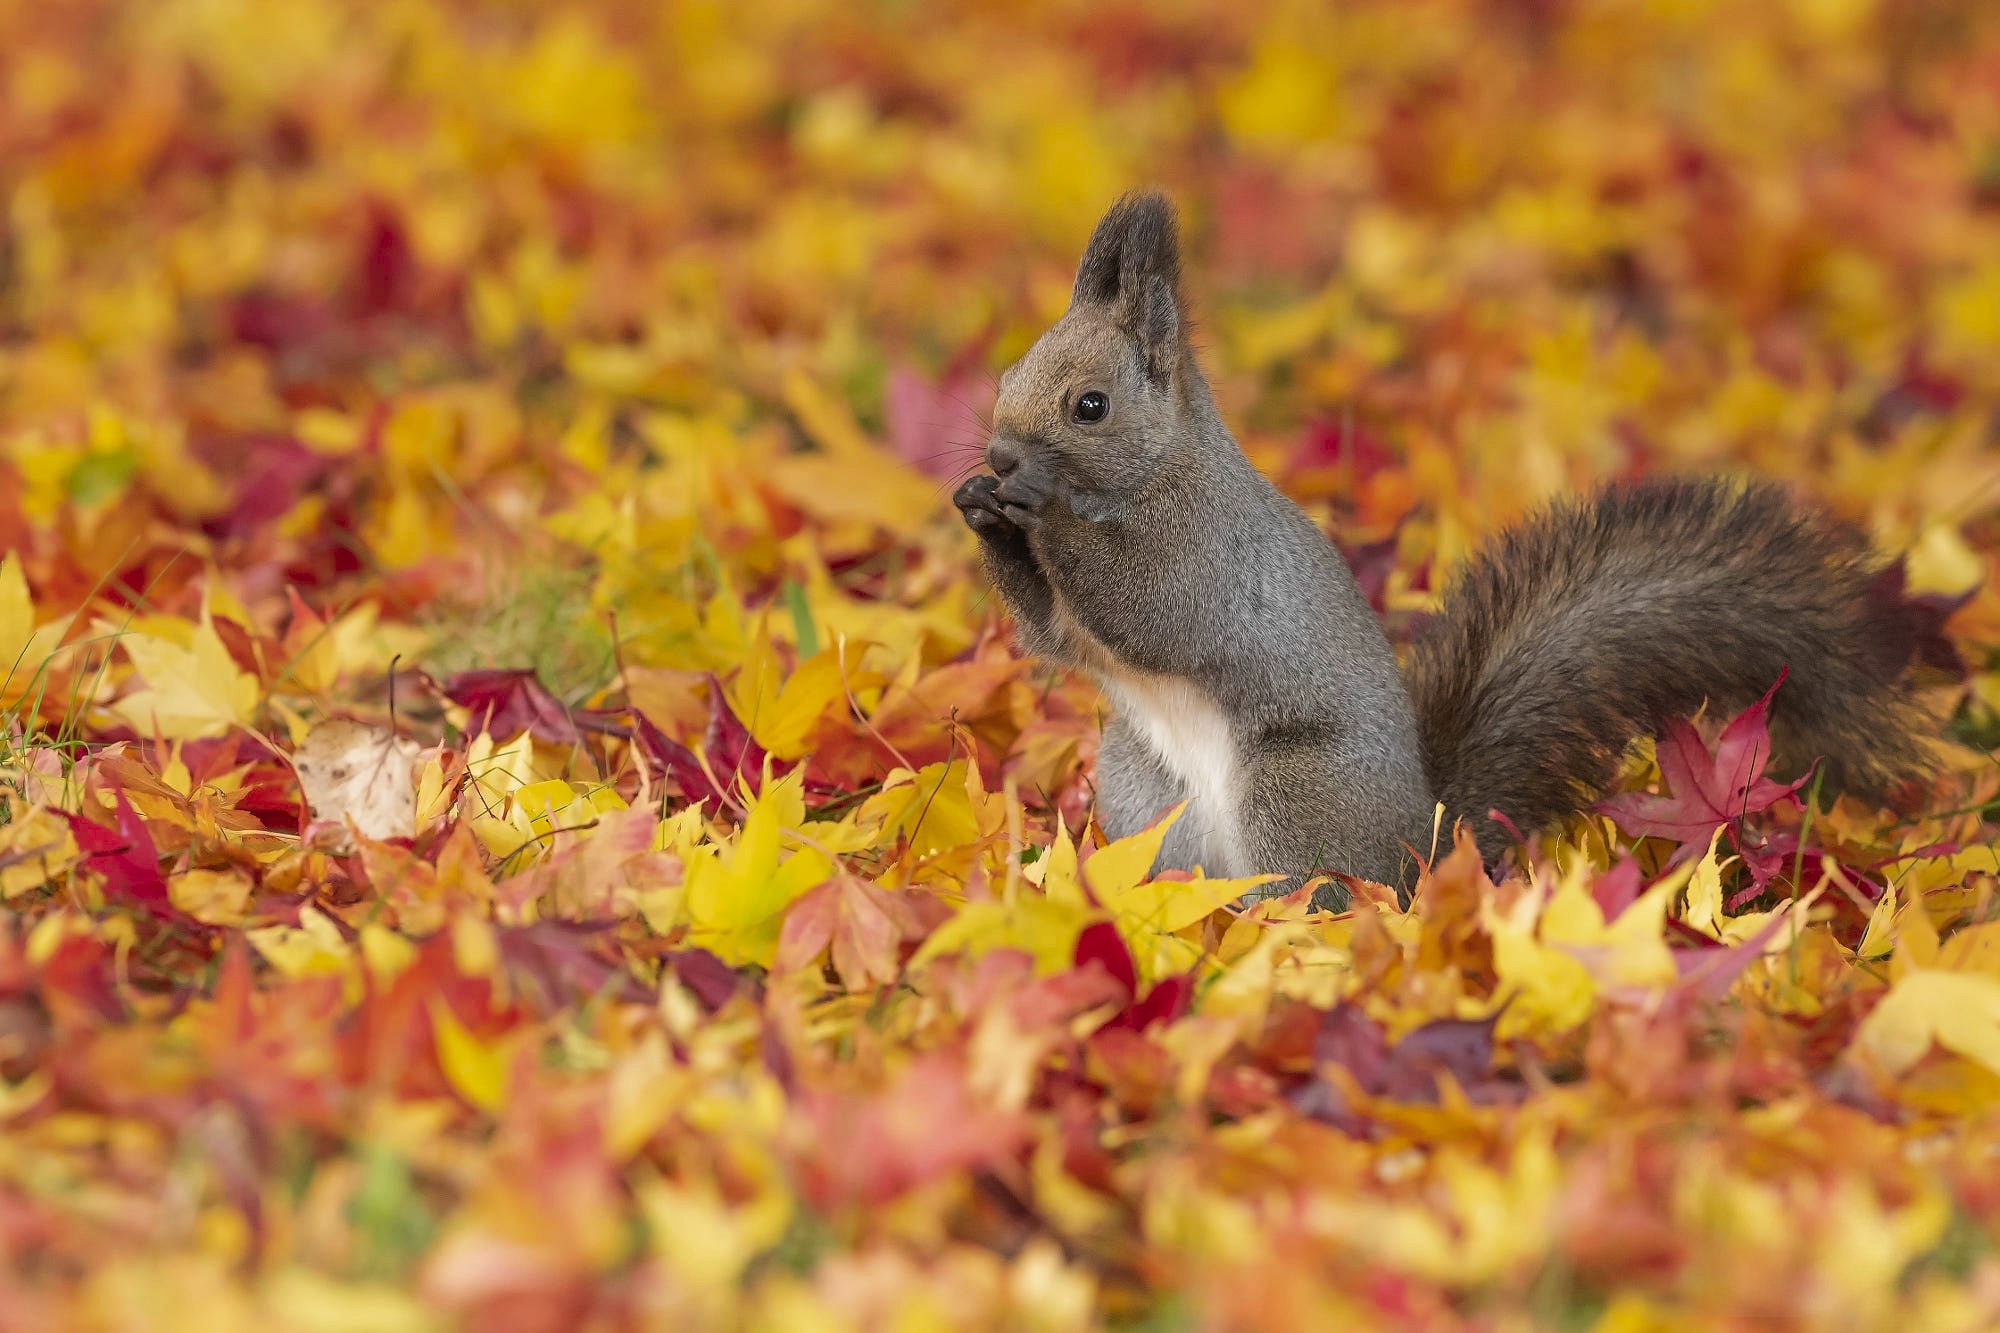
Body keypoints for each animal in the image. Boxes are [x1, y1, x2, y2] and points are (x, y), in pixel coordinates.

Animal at [952, 189, 1936, 892]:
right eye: (1004, 375)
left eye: (1090, 405)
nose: (999, 456)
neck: (1152, 478)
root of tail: (1427, 845)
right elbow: (1054, 632)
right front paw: (979, 505)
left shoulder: (1203, 553)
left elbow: (1146, 606)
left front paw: (1037, 505)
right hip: (1140, 785)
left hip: (1298, 790)